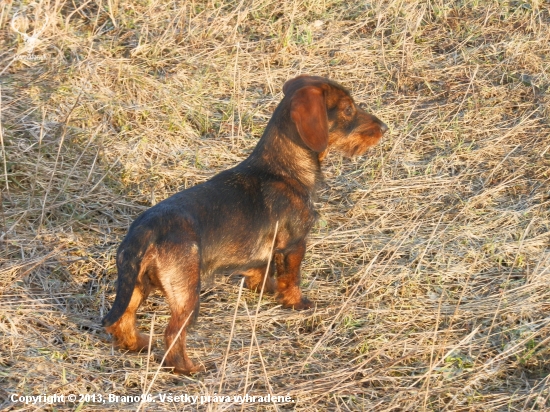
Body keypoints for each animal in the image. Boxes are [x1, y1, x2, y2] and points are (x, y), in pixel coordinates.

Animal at [102, 74, 388, 374]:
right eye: (348, 109)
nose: (384, 128)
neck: (284, 169)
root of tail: (145, 230)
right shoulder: (295, 245)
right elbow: (292, 279)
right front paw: (297, 303)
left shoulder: (263, 253)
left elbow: (261, 273)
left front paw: (266, 290)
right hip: (187, 293)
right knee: (172, 334)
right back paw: (189, 368)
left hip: (136, 285)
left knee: (122, 320)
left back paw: (137, 345)